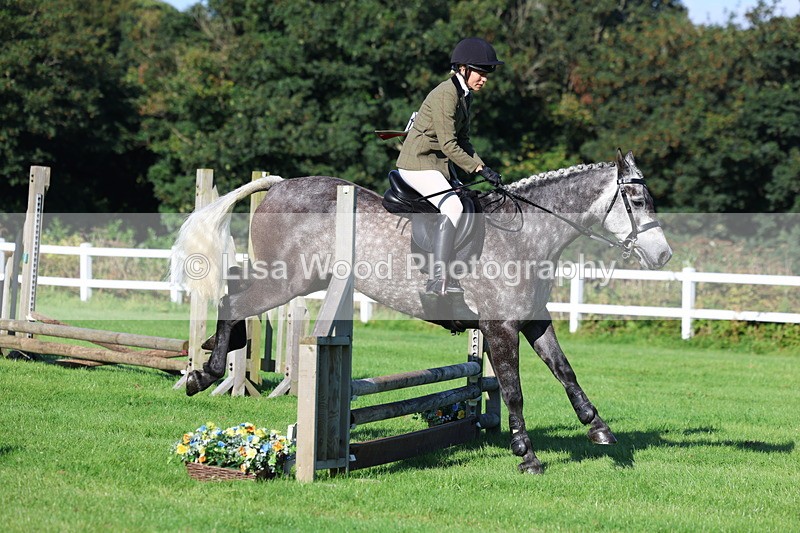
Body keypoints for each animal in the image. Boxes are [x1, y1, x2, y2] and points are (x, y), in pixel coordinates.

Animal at [171, 149, 672, 474]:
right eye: (638, 201)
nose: (663, 255)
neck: (528, 235)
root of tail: (280, 186)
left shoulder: (532, 320)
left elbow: (565, 371)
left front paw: (598, 429)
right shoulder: (500, 326)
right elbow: (514, 390)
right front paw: (526, 454)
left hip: (299, 280)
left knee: (236, 292)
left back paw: (213, 351)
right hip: (289, 280)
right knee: (234, 299)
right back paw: (205, 372)